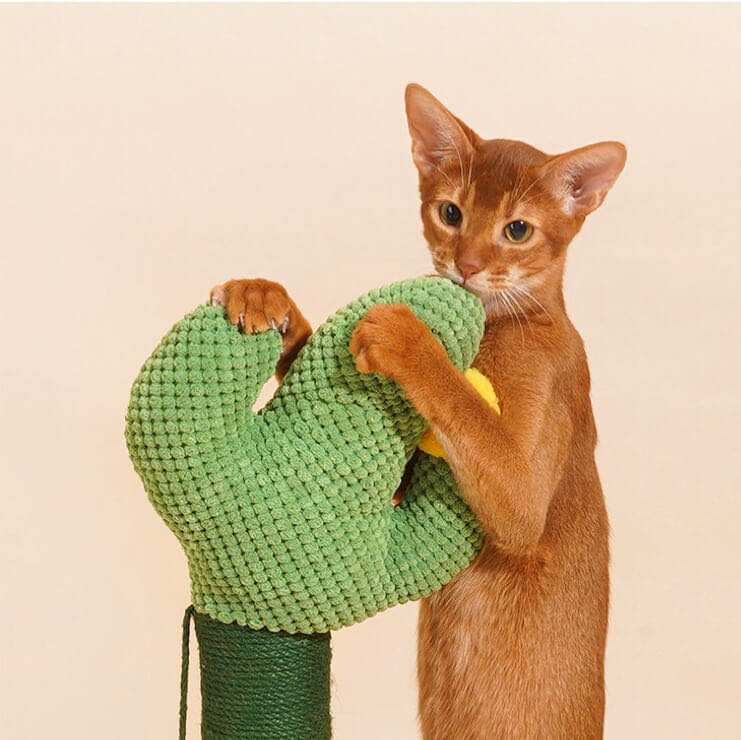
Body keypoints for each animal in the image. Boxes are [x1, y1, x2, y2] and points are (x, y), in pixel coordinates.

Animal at [208, 84, 624, 736]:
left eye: (518, 229)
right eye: (451, 213)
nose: (467, 266)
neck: (503, 324)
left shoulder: (524, 498)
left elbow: (462, 402)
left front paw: (408, 338)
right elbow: (308, 344)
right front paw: (264, 295)